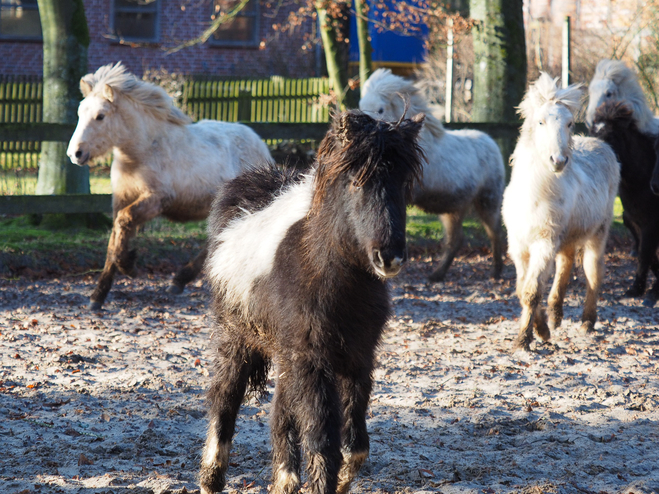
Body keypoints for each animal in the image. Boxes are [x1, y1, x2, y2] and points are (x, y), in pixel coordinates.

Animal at [67, 61, 274, 308]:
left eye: (100, 116)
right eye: (80, 113)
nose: (75, 154)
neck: (143, 151)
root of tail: (260, 145)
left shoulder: (157, 200)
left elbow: (124, 222)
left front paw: (129, 266)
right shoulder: (120, 199)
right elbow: (115, 236)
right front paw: (98, 295)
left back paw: (180, 279)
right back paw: (181, 280)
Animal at [200, 109, 422, 494]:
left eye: (402, 185)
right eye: (355, 183)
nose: (389, 257)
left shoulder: (357, 357)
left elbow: (354, 446)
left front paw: (338, 479)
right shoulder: (313, 360)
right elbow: (321, 441)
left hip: (286, 353)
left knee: (280, 413)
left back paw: (284, 480)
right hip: (238, 338)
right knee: (224, 398)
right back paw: (211, 478)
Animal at [360, 68, 506, 282]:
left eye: (380, 109)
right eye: (361, 106)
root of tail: (491, 142)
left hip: (488, 201)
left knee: (495, 232)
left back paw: (496, 272)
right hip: (454, 209)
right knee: (456, 240)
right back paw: (437, 274)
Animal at [502, 72, 620, 352]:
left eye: (569, 124)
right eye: (541, 121)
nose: (558, 161)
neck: (534, 195)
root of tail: (602, 145)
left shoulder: (544, 243)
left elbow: (532, 291)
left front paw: (525, 339)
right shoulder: (518, 247)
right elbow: (522, 289)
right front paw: (542, 328)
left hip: (596, 234)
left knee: (593, 272)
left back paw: (587, 322)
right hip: (566, 237)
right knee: (565, 265)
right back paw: (555, 316)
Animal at [592, 101, 659, 304]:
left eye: (612, 136)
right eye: (593, 134)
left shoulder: (651, 224)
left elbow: (646, 254)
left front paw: (648, 291)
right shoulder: (635, 222)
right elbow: (647, 254)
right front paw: (640, 289)